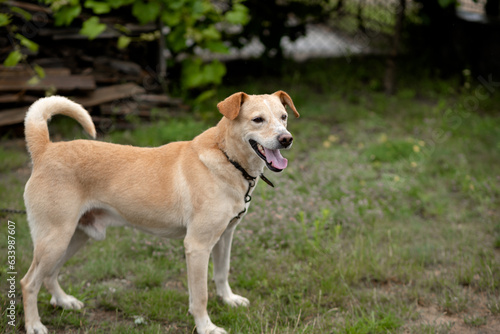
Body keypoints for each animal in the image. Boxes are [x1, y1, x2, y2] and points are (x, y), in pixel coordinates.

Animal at [21, 91, 298, 334]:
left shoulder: (225, 236)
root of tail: (45, 149)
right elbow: (200, 296)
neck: (226, 156)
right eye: (257, 119)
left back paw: (64, 302)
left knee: (49, 275)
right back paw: (34, 325)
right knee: (29, 282)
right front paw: (206, 327)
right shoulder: (197, 246)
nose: (286, 139)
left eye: (284, 116)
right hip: (55, 239)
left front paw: (228, 300)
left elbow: (222, 273)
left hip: (75, 237)